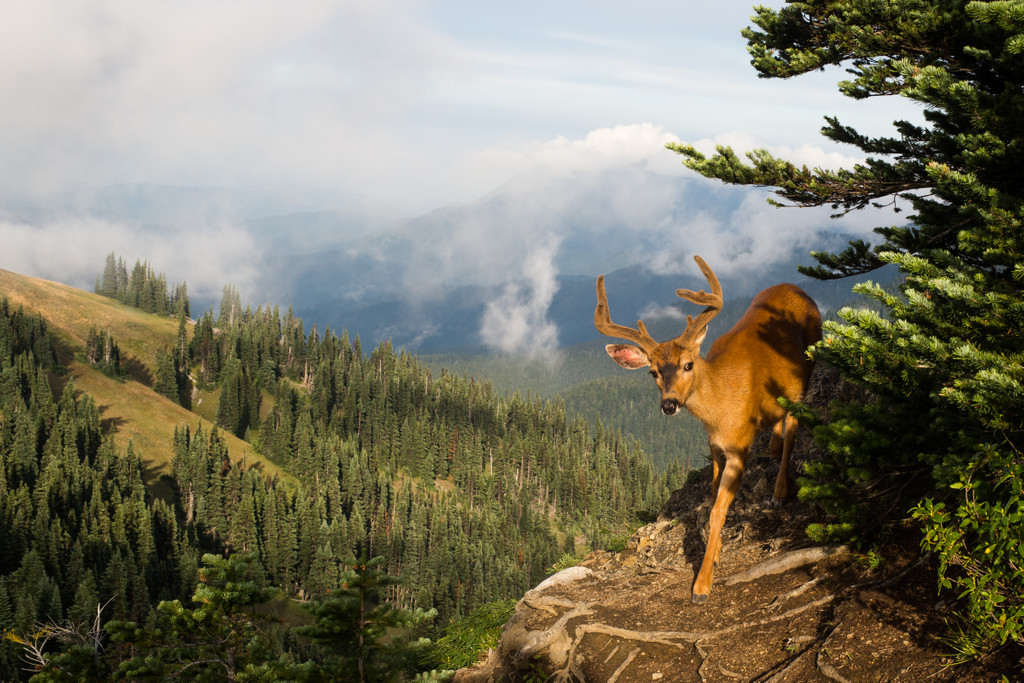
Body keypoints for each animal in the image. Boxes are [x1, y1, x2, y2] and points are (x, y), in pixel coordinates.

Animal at [593, 255, 823, 602]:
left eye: (688, 365)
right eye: (652, 372)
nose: (669, 404)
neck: (719, 407)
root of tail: (798, 288)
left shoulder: (739, 447)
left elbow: (717, 510)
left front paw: (702, 584)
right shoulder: (714, 445)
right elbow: (713, 495)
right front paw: (713, 555)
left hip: (807, 366)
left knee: (793, 427)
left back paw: (780, 491)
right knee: (781, 422)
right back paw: (772, 444)